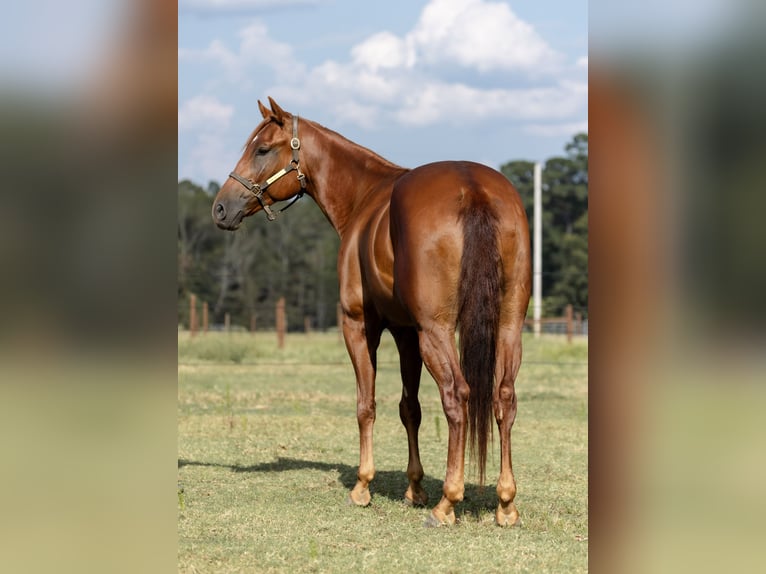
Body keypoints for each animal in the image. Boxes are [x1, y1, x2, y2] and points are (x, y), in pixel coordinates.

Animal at [212, 98, 531, 527]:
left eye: (261, 149)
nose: (220, 208)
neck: (364, 197)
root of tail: (474, 188)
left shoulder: (361, 326)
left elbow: (366, 406)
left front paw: (363, 486)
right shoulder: (406, 333)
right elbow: (409, 408)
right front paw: (415, 488)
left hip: (437, 333)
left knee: (457, 395)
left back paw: (447, 502)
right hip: (508, 327)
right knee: (504, 398)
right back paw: (505, 503)